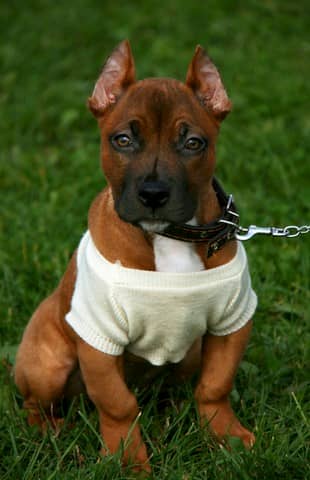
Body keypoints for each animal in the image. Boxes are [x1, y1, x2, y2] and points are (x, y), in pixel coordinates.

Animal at [14, 40, 256, 468]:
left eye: (193, 143)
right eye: (122, 140)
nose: (154, 194)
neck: (168, 237)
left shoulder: (232, 320)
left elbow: (214, 386)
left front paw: (226, 435)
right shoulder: (99, 337)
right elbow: (117, 405)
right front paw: (127, 459)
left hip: (190, 353)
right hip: (48, 362)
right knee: (35, 404)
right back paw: (52, 432)